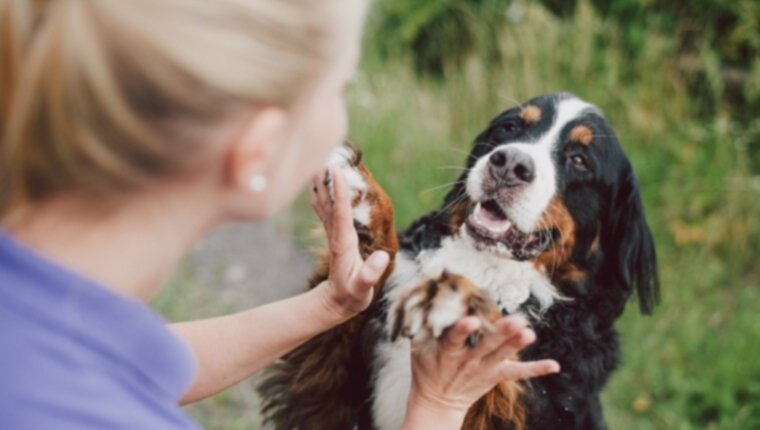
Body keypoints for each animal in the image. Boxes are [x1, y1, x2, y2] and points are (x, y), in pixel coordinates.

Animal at [260, 93, 660, 430]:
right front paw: (365, 198)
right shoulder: (330, 395)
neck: (483, 264)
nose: (510, 164)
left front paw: (454, 298)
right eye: (510, 128)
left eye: (579, 160)